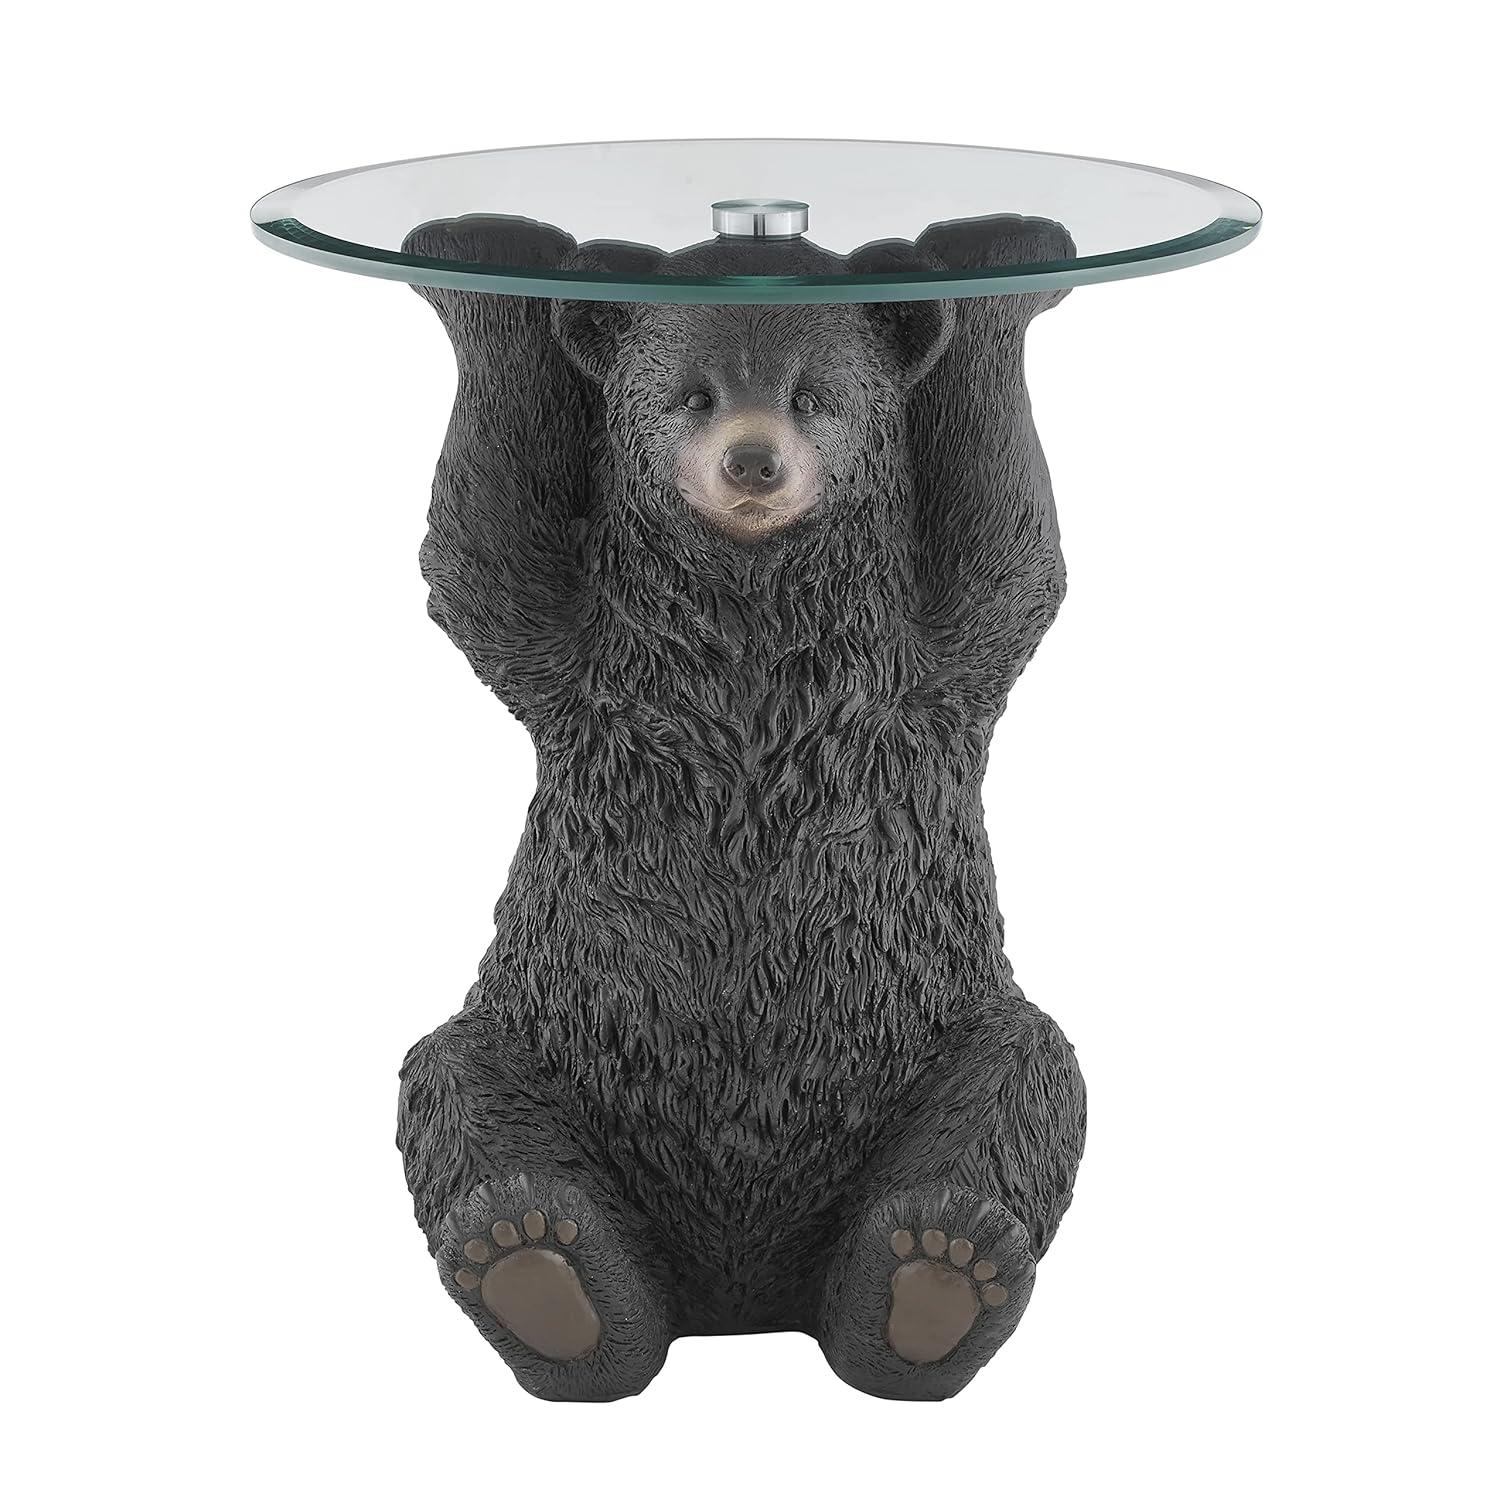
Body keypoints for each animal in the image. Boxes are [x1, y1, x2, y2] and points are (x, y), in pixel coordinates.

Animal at [395, 211, 1086, 1401]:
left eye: (815, 395)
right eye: (690, 394)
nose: (752, 459)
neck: (751, 629)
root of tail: (740, 1300)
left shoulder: (912, 684)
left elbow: (1007, 546)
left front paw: (1002, 256)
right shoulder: (598, 677)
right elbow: (484, 542)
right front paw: (475, 255)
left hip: (946, 1036)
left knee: (1031, 1080)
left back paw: (939, 1269)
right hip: (538, 1047)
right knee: (449, 1089)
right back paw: (538, 1266)